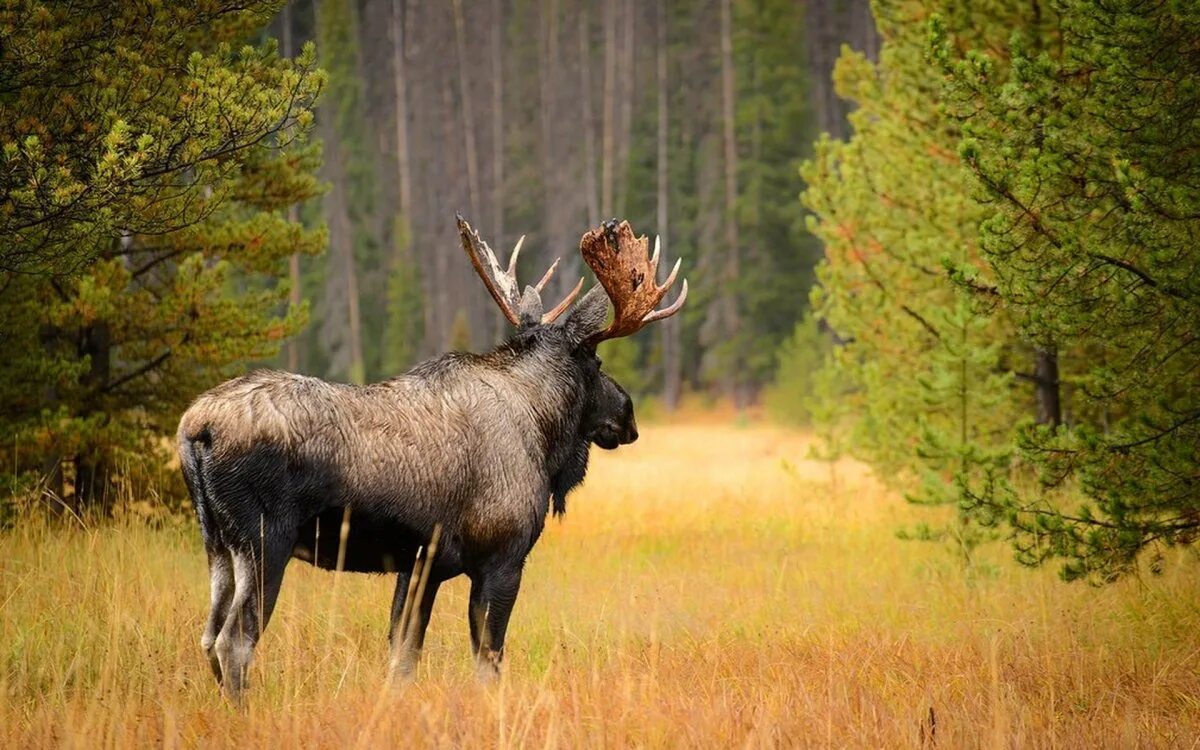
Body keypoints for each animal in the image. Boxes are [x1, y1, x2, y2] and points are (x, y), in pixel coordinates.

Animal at [174, 213, 691, 700]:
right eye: (597, 363)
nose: (628, 415)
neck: (543, 430)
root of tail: (195, 428)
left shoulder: (420, 565)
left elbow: (403, 657)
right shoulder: (502, 558)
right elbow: (488, 660)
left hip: (217, 544)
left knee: (207, 637)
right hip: (265, 541)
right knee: (234, 642)